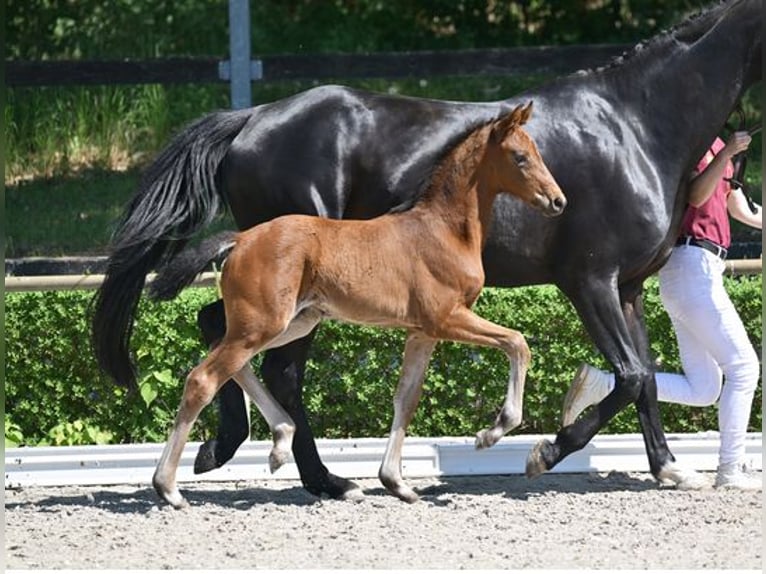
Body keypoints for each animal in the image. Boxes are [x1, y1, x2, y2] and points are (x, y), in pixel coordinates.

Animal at [147, 104, 566, 508]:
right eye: (519, 157)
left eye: (537, 152)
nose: (557, 200)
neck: (443, 231)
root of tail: (242, 238)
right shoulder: (447, 318)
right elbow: (517, 342)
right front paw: (491, 433)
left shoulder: (422, 332)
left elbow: (406, 398)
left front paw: (397, 483)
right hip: (263, 324)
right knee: (203, 378)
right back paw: (169, 488)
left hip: (290, 322)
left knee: (232, 360)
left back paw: (280, 443)